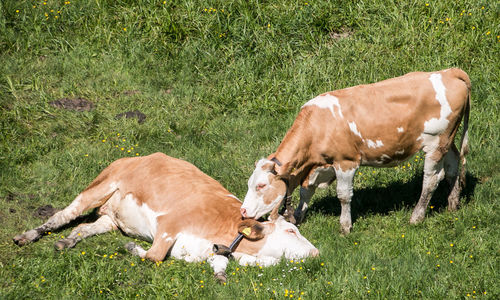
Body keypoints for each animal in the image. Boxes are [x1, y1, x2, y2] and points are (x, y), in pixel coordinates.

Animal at [13, 152, 318, 282]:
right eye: (291, 231)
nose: (316, 252)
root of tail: (140, 155)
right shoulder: (169, 225)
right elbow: (154, 256)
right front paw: (132, 248)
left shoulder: (209, 251)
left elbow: (219, 264)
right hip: (100, 185)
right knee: (64, 215)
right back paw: (29, 235)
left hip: (112, 217)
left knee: (87, 227)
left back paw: (67, 241)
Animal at [240, 68, 470, 234]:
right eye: (249, 183)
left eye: (261, 186)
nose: (243, 211)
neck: (317, 125)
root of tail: (449, 71)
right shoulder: (321, 163)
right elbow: (307, 189)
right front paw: (297, 216)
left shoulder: (346, 161)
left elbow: (343, 195)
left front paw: (345, 226)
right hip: (448, 140)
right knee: (453, 165)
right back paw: (452, 204)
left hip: (435, 143)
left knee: (431, 179)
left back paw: (416, 217)